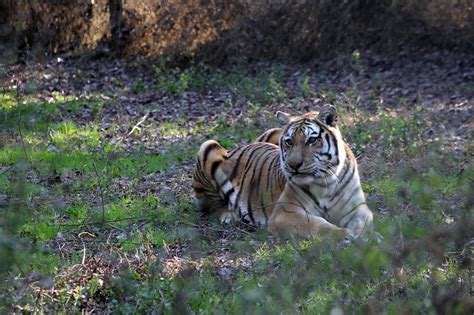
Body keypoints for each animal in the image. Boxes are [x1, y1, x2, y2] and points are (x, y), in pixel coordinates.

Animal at [193, 105, 374, 241]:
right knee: (209, 204)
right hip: (208, 146)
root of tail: (241, 146)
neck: (327, 181)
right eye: (289, 142)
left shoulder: (358, 208)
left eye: (311, 140)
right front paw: (344, 235)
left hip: (272, 131)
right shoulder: (285, 214)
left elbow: (362, 223)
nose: (293, 165)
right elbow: (317, 224)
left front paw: (368, 238)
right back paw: (229, 216)